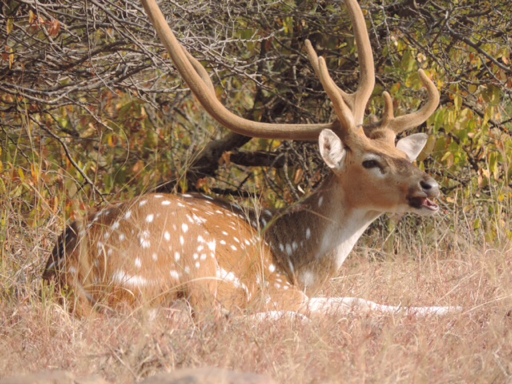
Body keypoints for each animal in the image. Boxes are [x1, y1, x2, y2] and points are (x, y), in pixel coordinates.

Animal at [43, 0, 460, 318]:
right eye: (371, 162)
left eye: (401, 153)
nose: (430, 184)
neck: (297, 263)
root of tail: (65, 277)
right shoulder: (279, 288)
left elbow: (362, 300)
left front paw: (449, 309)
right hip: (191, 263)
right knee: (216, 319)